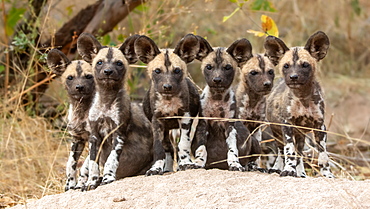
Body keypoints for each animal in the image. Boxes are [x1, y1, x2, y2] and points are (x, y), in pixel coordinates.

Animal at [46, 49, 94, 191]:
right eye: (70, 78)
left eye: (88, 76)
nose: (79, 87)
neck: (81, 111)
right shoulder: (77, 139)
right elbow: (70, 163)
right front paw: (70, 183)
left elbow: (85, 165)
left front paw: (82, 183)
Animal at [76, 33, 153, 189]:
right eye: (99, 62)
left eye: (119, 63)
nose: (108, 72)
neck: (106, 100)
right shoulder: (94, 137)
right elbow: (93, 164)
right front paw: (92, 181)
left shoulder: (118, 135)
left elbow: (111, 161)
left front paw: (108, 178)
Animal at [134, 34, 201, 175]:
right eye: (157, 71)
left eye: (177, 71)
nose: (167, 86)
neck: (169, 100)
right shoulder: (157, 121)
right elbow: (159, 149)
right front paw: (155, 168)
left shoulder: (185, 118)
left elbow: (183, 145)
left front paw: (186, 163)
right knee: (168, 147)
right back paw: (167, 169)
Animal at [192, 36, 262, 171]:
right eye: (209, 67)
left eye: (227, 67)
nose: (217, 80)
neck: (217, 98)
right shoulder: (202, 125)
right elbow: (201, 149)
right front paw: (198, 163)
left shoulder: (230, 127)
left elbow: (232, 150)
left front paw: (234, 163)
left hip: (254, 141)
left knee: (253, 158)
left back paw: (250, 166)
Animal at [264, 31, 336, 178]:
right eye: (286, 66)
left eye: (305, 65)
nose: (293, 77)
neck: (303, 97)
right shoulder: (287, 126)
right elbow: (289, 152)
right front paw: (288, 170)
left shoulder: (320, 126)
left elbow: (323, 154)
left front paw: (327, 174)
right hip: (277, 133)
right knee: (281, 152)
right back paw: (277, 168)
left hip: (300, 135)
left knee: (300, 153)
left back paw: (301, 173)